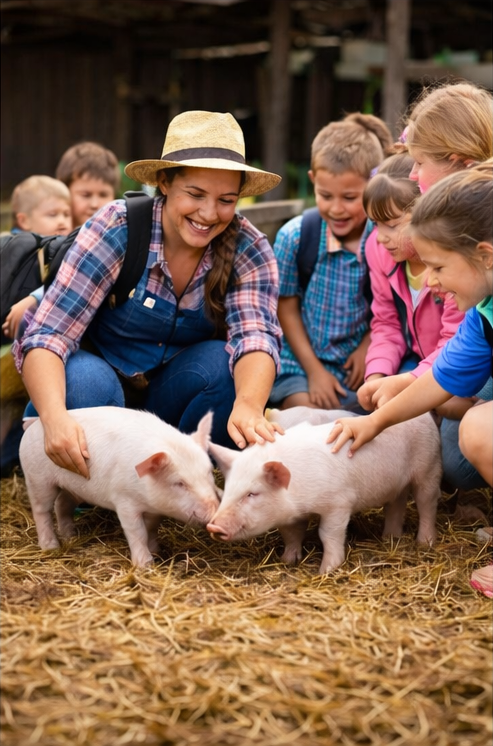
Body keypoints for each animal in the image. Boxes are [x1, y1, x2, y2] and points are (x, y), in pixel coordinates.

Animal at [19, 407, 220, 567]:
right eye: (179, 483)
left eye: (208, 472)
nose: (214, 512)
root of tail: (33, 423)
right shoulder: (124, 501)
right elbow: (137, 532)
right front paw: (146, 566)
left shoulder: (154, 510)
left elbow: (151, 528)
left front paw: (157, 551)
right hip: (37, 478)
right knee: (41, 511)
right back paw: (51, 547)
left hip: (74, 487)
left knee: (62, 504)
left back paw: (71, 536)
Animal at [207, 414, 442, 574]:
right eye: (228, 489)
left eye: (252, 494)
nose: (213, 526)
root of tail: (426, 417)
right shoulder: (291, 515)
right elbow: (291, 534)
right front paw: (287, 560)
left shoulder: (339, 502)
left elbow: (328, 533)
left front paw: (325, 571)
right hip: (395, 485)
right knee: (396, 504)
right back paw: (389, 537)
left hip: (429, 467)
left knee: (427, 503)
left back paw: (424, 543)